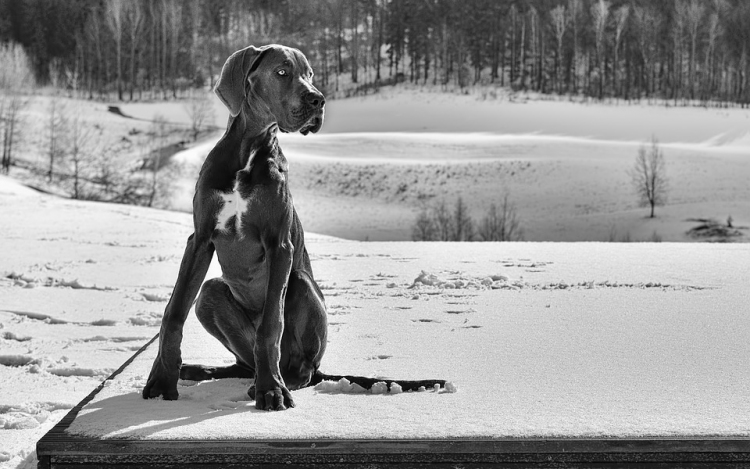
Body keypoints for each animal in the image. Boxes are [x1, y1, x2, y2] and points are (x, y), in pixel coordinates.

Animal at [144, 44, 444, 410]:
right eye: (282, 72)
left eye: (310, 74)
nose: (318, 100)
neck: (249, 152)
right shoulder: (200, 239)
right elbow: (174, 311)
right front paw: (162, 379)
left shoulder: (279, 245)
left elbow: (271, 323)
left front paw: (271, 390)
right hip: (210, 295)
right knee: (241, 359)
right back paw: (203, 370)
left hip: (300, 283)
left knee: (300, 368)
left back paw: (278, 380)